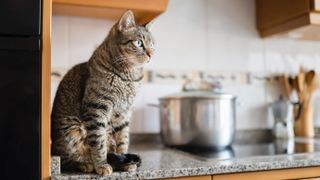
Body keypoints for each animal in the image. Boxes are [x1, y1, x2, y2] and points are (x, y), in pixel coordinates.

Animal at [51, 10, 155, 176]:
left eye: (152, 45)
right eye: (139, 43)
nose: (151, 53)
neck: (129, 77)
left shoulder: (123, 114)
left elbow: (123, 140)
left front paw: (125, 162)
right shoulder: (96, 109)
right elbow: (98, 142)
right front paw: (101, 165)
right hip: (72, 131)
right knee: (65, 160)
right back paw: (85, 164)